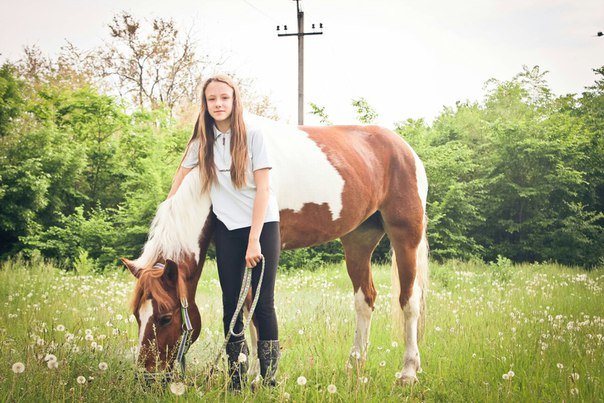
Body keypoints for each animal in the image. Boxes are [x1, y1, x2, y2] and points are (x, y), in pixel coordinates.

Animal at [120, 114, 428, 386]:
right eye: (137, 316)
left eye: (164, 317)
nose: (146, 377)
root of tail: (406, 150)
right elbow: (245, 312)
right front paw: (249, 373)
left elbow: (257, 313)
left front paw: (259, 377)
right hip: (358, 240)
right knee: (365, 299)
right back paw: (355, 365)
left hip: (406, 235)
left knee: (409, 301)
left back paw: (408, 372)